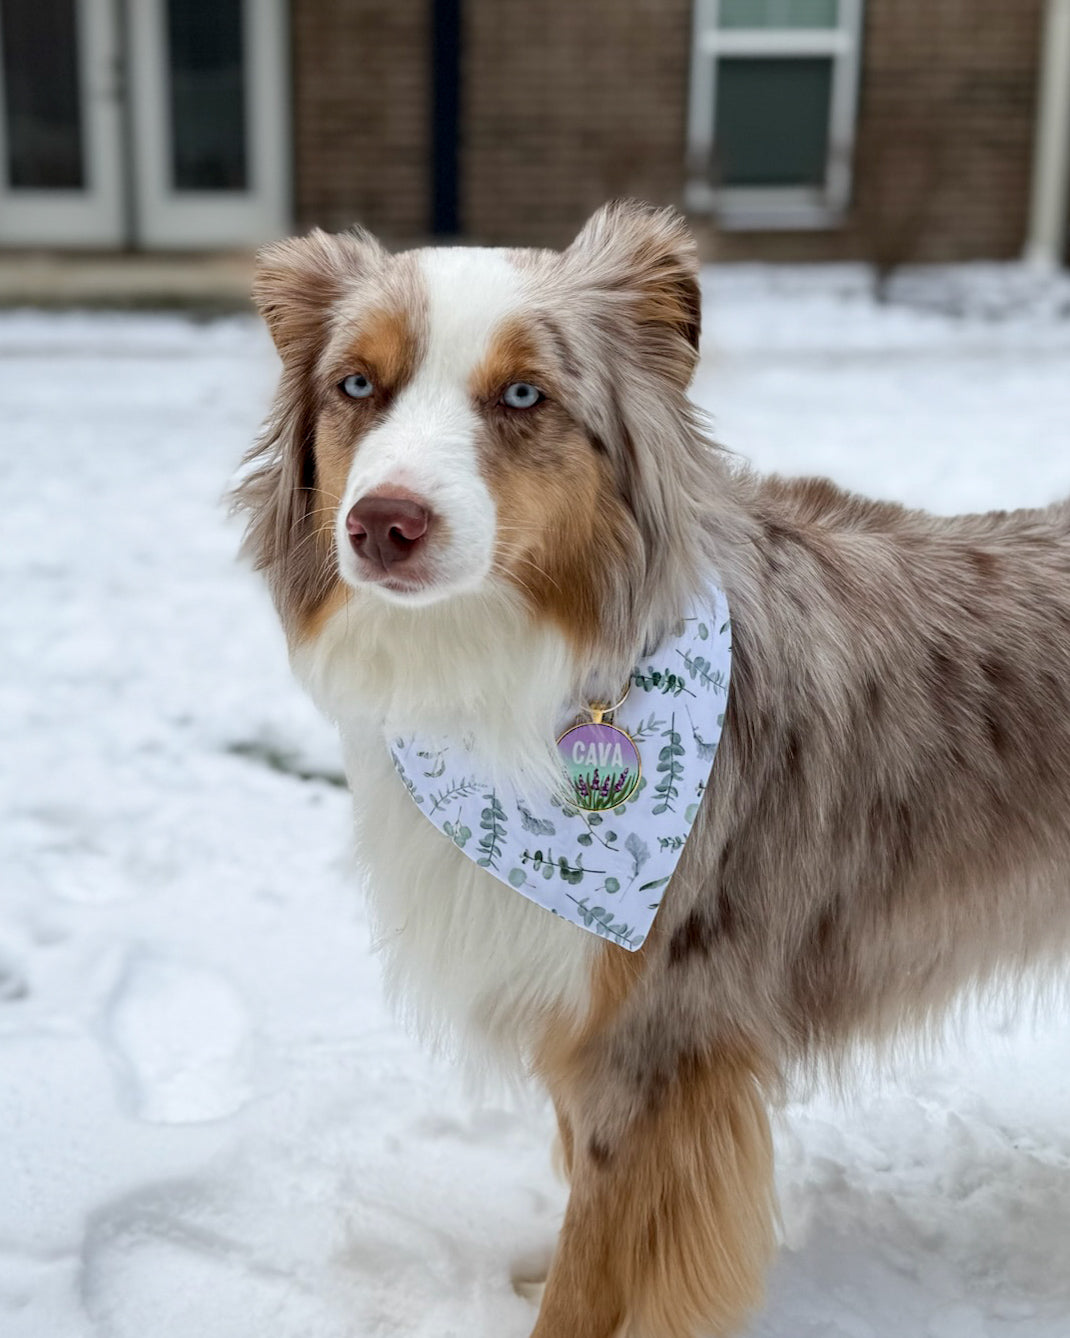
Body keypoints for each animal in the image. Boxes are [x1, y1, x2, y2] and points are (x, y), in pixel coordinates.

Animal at [238, 200, 1070, 1338]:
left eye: (524, 394)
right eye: (357, 386)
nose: (383, 524)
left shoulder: (661, 1034)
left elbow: (601, 1257)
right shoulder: (582, 1008)